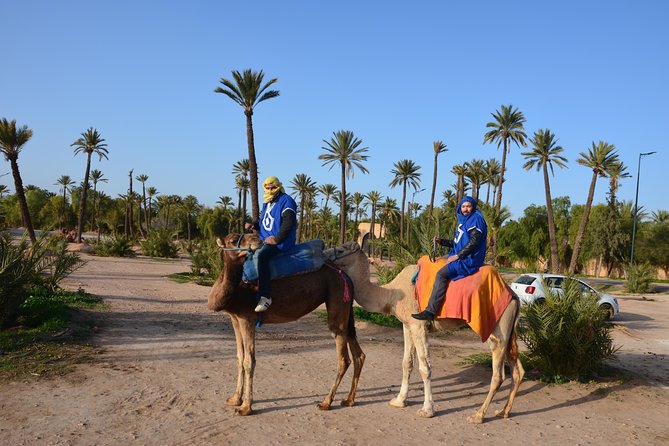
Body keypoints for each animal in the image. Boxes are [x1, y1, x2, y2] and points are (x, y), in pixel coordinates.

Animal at [207, 233, 365, 416]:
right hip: (346, 309)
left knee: (343, 358)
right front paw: (234, 399)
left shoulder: (247, 318)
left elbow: (249, 361)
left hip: (337, 299)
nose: (256, 239)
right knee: (358, 354)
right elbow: (239, 358)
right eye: (232, 240)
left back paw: (326, 402)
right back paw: (349, 400)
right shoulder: (235, 318)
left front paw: (246, 407)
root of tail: (345, 276)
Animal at [332, 242, 524, 424]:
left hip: (498, 329)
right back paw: (503, 412)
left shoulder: (418, 325)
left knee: (498, 374)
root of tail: (514, 296)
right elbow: (406, 363)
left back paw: (478, 416)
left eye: (341, 250)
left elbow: (425, 367)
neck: (391, 295)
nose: (326, 256)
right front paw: (399, 400)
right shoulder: (407, 325)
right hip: (510, 332)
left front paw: (427, 410)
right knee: (518, 370)